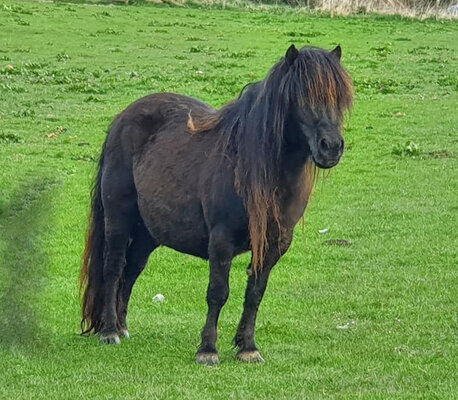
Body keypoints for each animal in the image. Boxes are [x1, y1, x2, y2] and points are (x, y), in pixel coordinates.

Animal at [79, 44, 354, 366]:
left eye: (340, 97)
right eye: (301, 95)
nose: (331, 147)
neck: (258, 168)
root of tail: (122, 118)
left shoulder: (275, 243)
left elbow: (255, 293)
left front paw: (248, 346)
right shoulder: (221, 239)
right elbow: (218, 292)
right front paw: (208, 349)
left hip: (148, 231)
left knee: (131, 270)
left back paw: (122, 326)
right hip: (118, 218)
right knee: (113, 267)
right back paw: (110, 331)